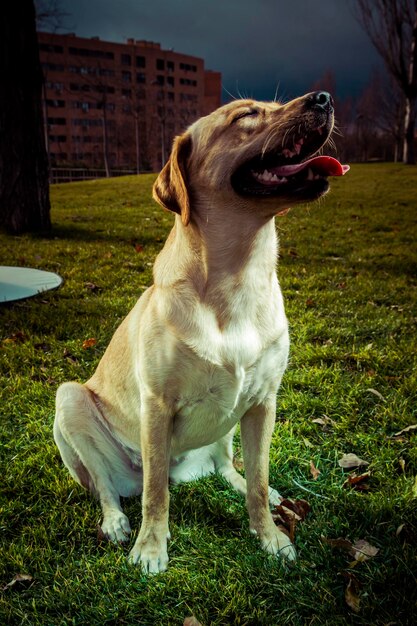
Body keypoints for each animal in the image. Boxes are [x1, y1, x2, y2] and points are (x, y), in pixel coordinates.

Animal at [54, 90, 348, 572]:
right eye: (246, 114)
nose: (323, 98)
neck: (239, 277)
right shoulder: (157, 405)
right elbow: (156, 493)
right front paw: (151, 548)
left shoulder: (264, 402)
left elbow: (258, 482)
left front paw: (270, 536)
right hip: (70, 400)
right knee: (109, 487)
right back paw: (115, 521)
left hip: (232, 421)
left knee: (230, 467)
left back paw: (244, 484)